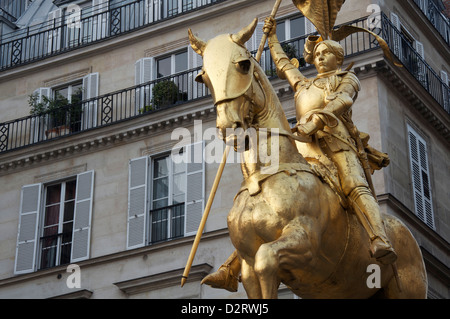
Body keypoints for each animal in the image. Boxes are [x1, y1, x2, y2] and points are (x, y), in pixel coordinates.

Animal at [188, 19, 428, 300]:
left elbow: (266, 259)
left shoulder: (304, 241)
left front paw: (308, 126)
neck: (262, 178)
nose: (228, 126)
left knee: (358, 188)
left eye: (244, 64)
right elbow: (285, 65)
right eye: (203, 76)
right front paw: (270, 29)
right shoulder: (247, 264)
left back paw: (382, 245)